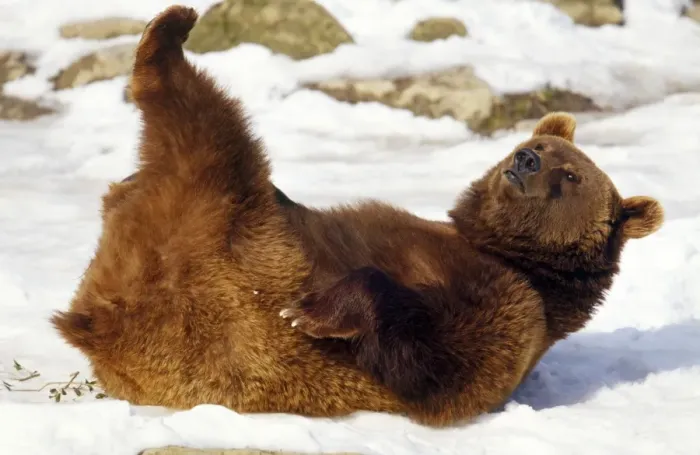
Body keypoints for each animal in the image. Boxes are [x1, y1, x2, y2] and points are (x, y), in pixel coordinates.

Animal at [51, 5, 664, 428]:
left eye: (571, 175)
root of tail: (94, 318)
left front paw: (309, 312)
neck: (508, 254)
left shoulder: (510, 309)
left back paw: (168, 37)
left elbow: (437, 365)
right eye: (536, 144)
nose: (527, 160)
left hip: (220, 220)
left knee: (206, 127)